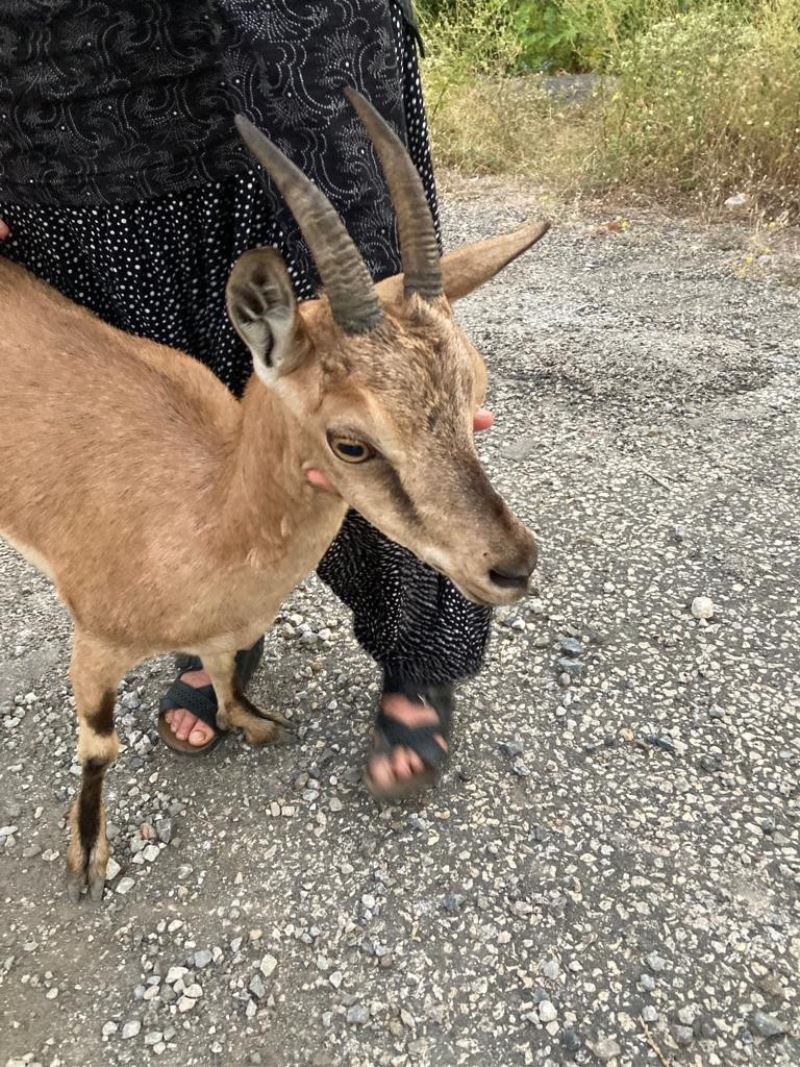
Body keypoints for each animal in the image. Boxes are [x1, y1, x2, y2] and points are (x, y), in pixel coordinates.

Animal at [0, 89, 550, 900]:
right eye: (351, 442)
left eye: (474, 391)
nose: (511, 565)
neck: (200, 515)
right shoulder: (94, 644)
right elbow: (100, 746)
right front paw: (89, 852)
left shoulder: (225, 626)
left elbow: (227, 668)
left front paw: (252, 722)